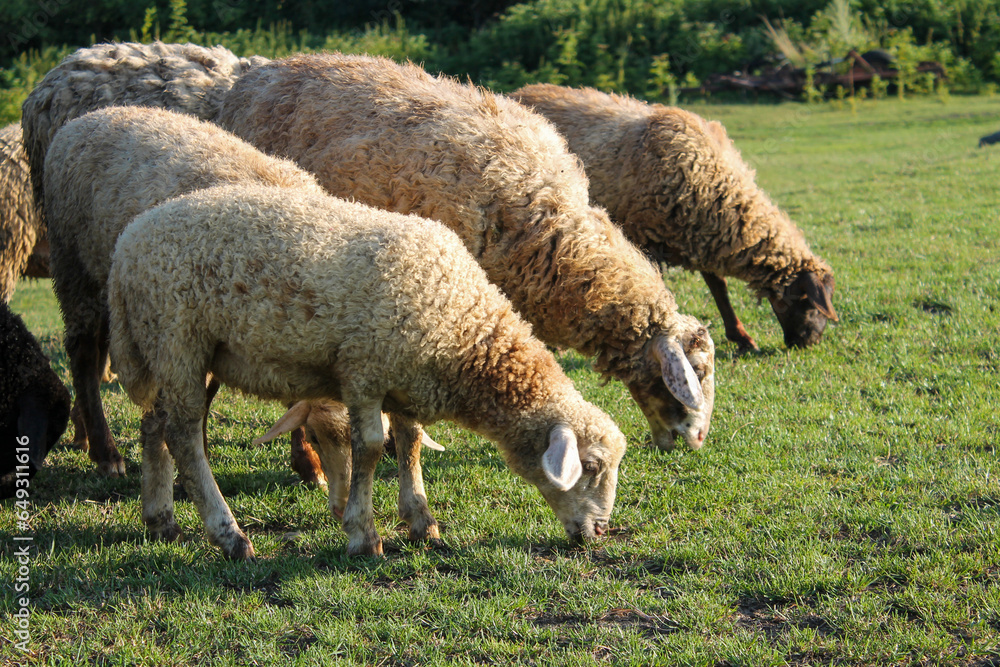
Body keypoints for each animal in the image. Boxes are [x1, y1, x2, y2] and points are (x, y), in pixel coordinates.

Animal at [107, 182, 629, 559]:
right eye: (590, 467)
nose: (601, 531)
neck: (463, 328)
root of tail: (128, 243)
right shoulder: (364, 371)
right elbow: (373, 448)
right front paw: (364, 535)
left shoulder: (407, 378)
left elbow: (411, 444)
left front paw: (422, 522)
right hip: (178, 339)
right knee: (184, 436)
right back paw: (229, 535)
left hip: (176, 349)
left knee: (155, 425)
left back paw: (160, 519)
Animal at [512, 84, 838, 351]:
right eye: (807, 300)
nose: (806, 342)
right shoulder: (648, 236)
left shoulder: (701, 234)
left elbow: (718, 287)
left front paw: (741, 337)